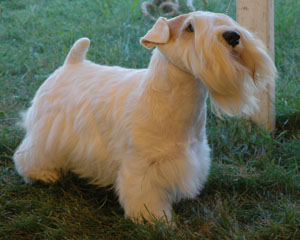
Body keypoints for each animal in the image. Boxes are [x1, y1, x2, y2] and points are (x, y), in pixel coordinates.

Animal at [13, 11, 276, 223]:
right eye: (190, 27)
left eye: (224, 19)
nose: (233, 36)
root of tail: (71, 63)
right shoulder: (143, 168)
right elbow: (146, 196)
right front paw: (155, 220)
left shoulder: (192, 156)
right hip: (47, 132)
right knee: (28, 154)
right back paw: (43, 174)